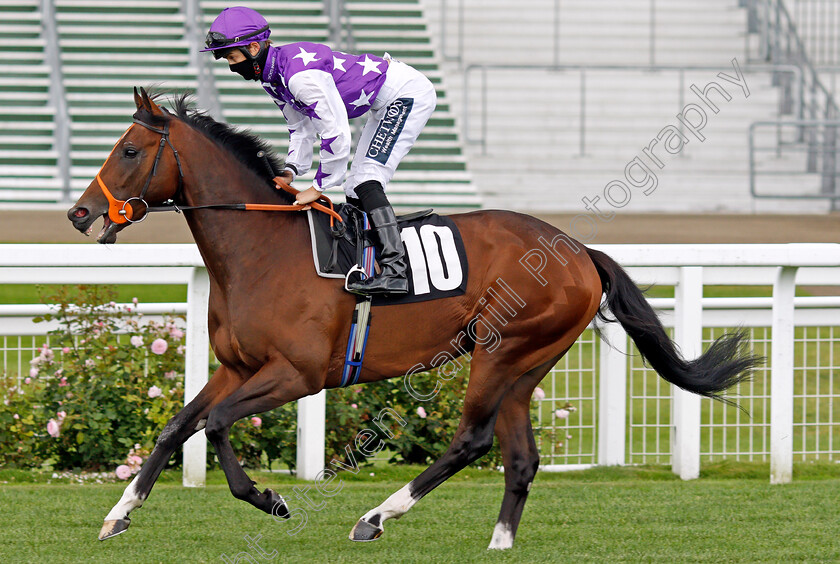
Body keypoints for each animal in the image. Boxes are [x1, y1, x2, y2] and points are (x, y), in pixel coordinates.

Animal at [67, 89, 760, 552]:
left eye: (129, 150)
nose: (79, 214)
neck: (261, 250)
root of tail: (578, 250)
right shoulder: (237, 366)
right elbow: (176, 427)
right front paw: (118, 514)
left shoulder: (298, 374)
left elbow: (213, 426)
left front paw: (272, 498)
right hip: (524, 363)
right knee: (520, 457)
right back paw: (498, 543)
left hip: (502, 349)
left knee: (473, 440)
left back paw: (375, 517)